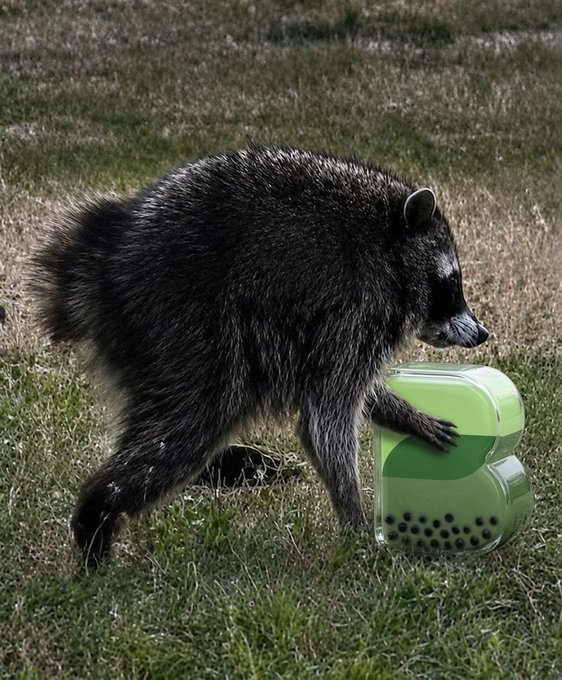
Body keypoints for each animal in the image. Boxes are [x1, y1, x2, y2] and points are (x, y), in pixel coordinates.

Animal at [32, 146, 488, 567]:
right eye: (452, 284)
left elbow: (344, 390)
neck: (389, 246)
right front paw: (355, 523)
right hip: (184, 324)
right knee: (186, 426)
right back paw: (97, 514)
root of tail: (106, 256)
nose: (483, 334)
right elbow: (326, 418)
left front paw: (405, 415)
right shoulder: (357, 308)